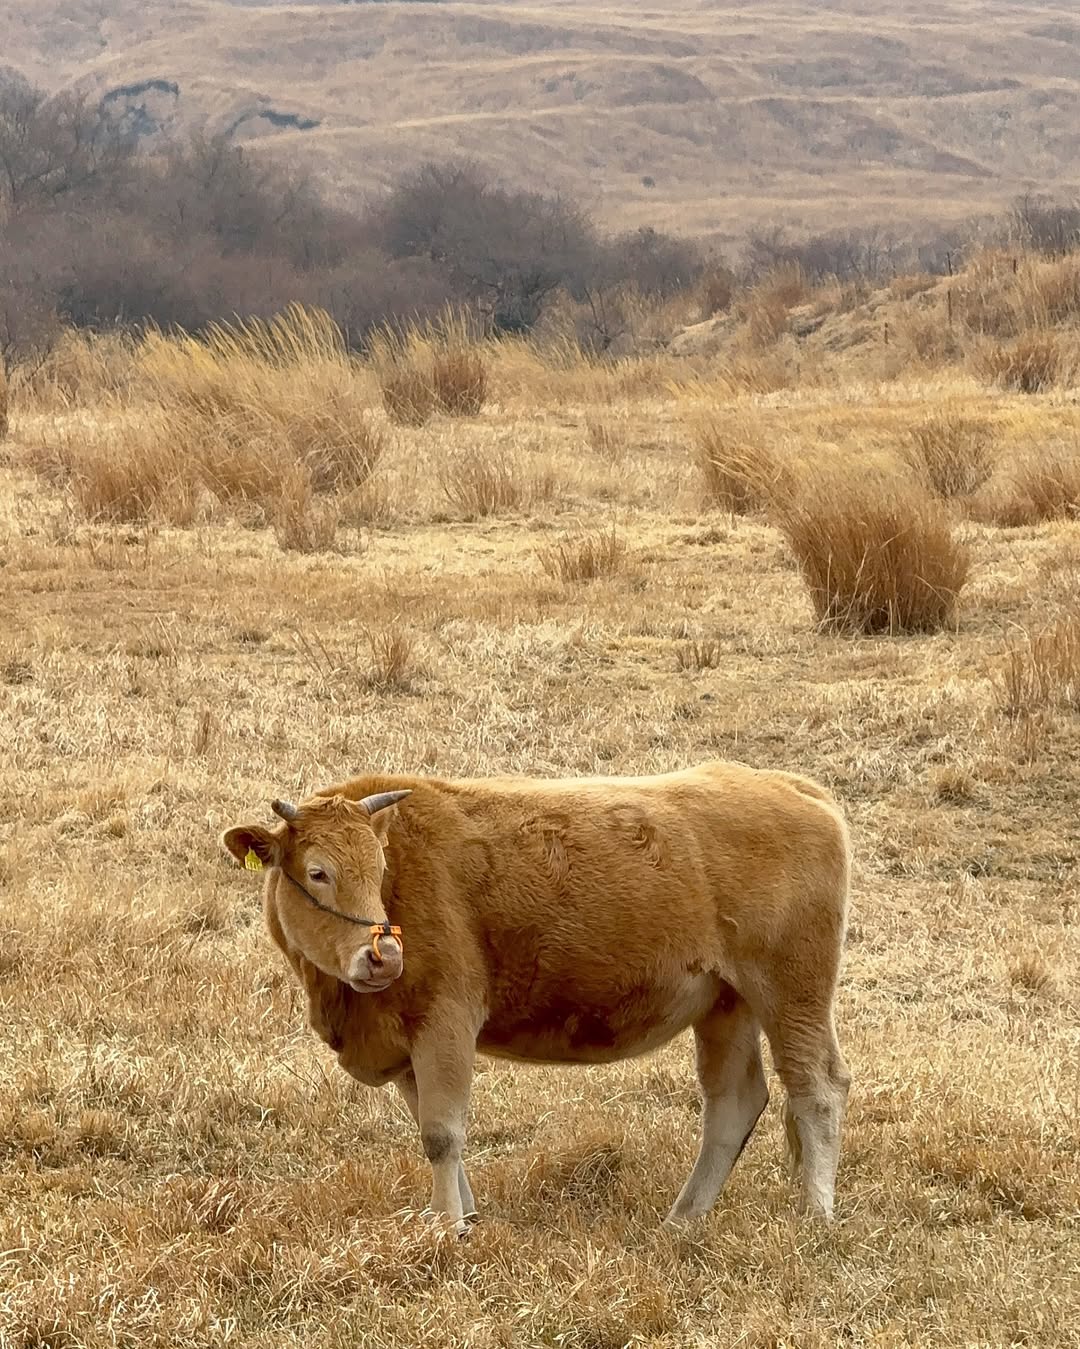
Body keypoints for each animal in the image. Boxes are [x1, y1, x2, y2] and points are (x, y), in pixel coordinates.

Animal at [223, 760, 852, 1235]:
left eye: (378, 868)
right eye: (318, 871)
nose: (385, 956)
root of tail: (794, 787)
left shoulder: (446, 1022)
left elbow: (441, 1133)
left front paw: (448, 1228)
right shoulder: (404, 1043)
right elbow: (432, 1128)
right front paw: (462, 1217)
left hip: (792, 991)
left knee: (817, 1086)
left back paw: (816, 1216)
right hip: (726, 1003)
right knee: (733, 1102)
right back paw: (682, 1220)